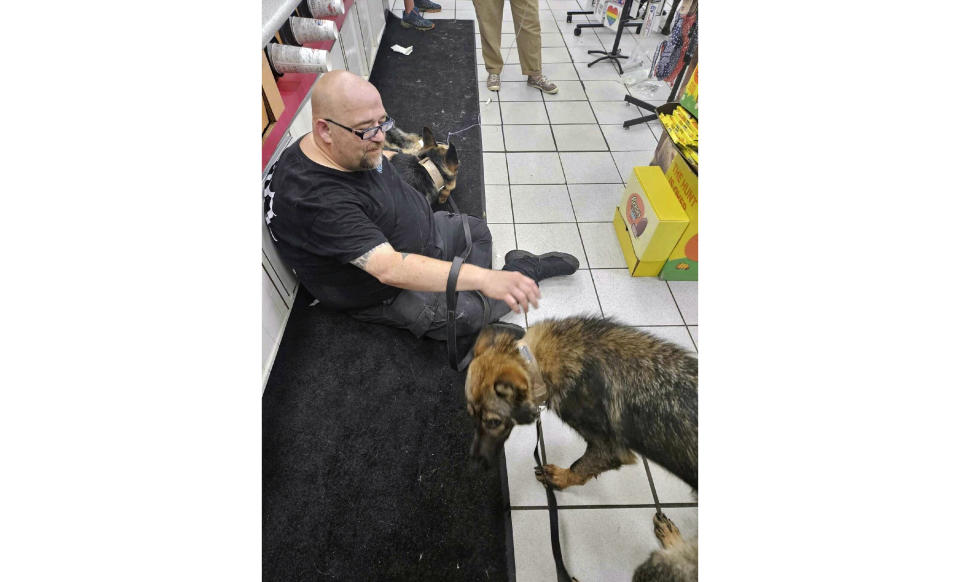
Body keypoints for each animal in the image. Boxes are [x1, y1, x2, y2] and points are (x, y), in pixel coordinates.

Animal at [464, 318, 696, 582]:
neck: (535, 361)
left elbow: (579, 467)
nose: (474, 464)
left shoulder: (608, 449)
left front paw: (559, 478)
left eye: (493, 422)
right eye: (471, 416)